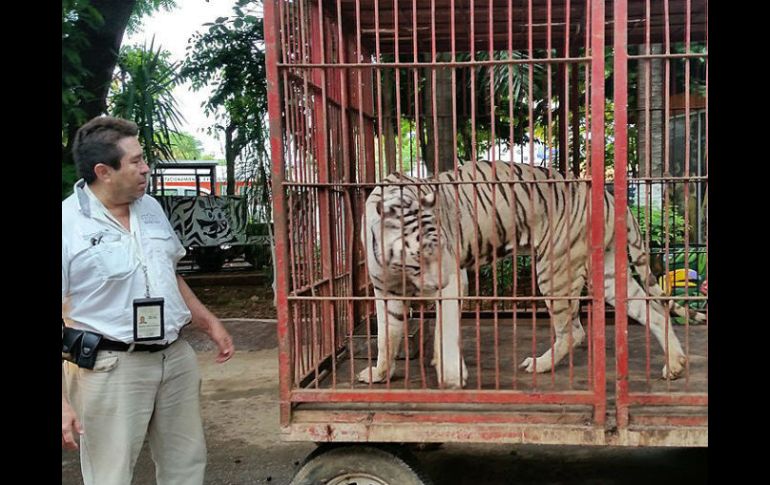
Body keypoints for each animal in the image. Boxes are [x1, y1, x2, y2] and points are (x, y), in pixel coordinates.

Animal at [356, 161, 704, 388]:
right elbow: (387, 337)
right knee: (653, 310)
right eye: (421, 255)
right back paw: (675, 365)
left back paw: (539, 365)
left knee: (574, 331)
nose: (438, 282)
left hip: (554, 270)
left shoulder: (456, 281)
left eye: (440, 248)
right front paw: (380, 373)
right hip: (606, 273)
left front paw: (452, 377)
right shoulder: (385, 292)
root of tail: (609, 197)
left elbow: (447, 331)